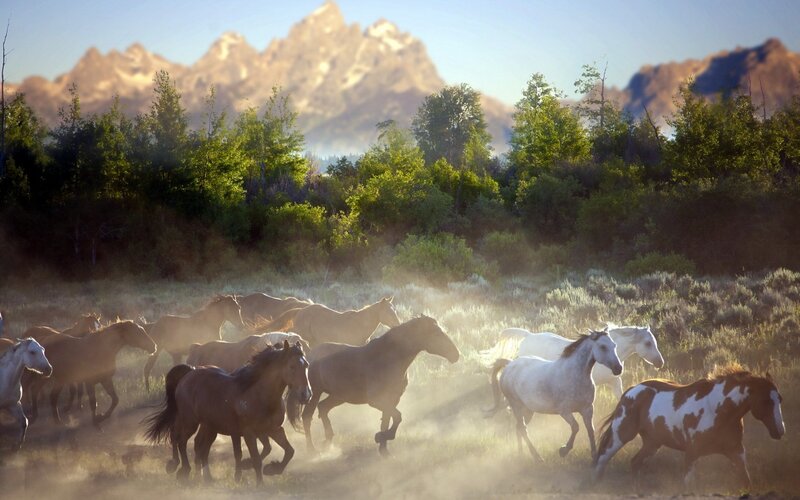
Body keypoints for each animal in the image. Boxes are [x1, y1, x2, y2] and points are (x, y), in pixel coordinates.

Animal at [144, 340, 312, 485]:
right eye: (292, 366)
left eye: (306, 365)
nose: (306, 394)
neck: (259, 395)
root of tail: (189, 373)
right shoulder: (249, 432)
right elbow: (257, 458)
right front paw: (259, 483)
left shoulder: (274, 429)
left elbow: (289, 451)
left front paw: (270, 469)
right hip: (190, 421)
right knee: (180, 439)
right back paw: (181, 469)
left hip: (209, 426)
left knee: (200, 446)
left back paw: (205, 477)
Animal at [292, 316, 460, 456]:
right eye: (435, 333)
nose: (456, 354)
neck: (388, 359)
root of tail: (309, 355)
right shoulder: (377, 401)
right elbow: (397, 417)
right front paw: (381, 438)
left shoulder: (392, 400)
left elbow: (387, 420)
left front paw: (383, 448)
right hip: (314, 393)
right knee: (307, 417)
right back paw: (312, 449)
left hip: (339, 396)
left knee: (323, 408)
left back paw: (328, 441)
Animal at [486, 330, 623, 462]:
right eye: (603, 346)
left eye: (614, 345)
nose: (618, 368)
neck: (574, 375)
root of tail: (509, 364)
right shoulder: (564, 411)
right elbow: (576, 427)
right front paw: (563, 450)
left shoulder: (587, 409)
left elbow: (590, 430)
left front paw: (594, 457)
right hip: (516, 406)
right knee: (523, 429)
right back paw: (537, 457)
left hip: (528, 410)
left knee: (519, 428)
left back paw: (521, 454)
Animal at [592, 368, 785, 490]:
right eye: (766, 401)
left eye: (779, 399)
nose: (780, 430)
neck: (718, 410)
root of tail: (631, 390)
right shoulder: (692, 453)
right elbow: (688, 486)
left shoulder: (737, 452)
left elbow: (746, 481)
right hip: (621, 435)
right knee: (602, 459)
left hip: (652, 443)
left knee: (635, 462)